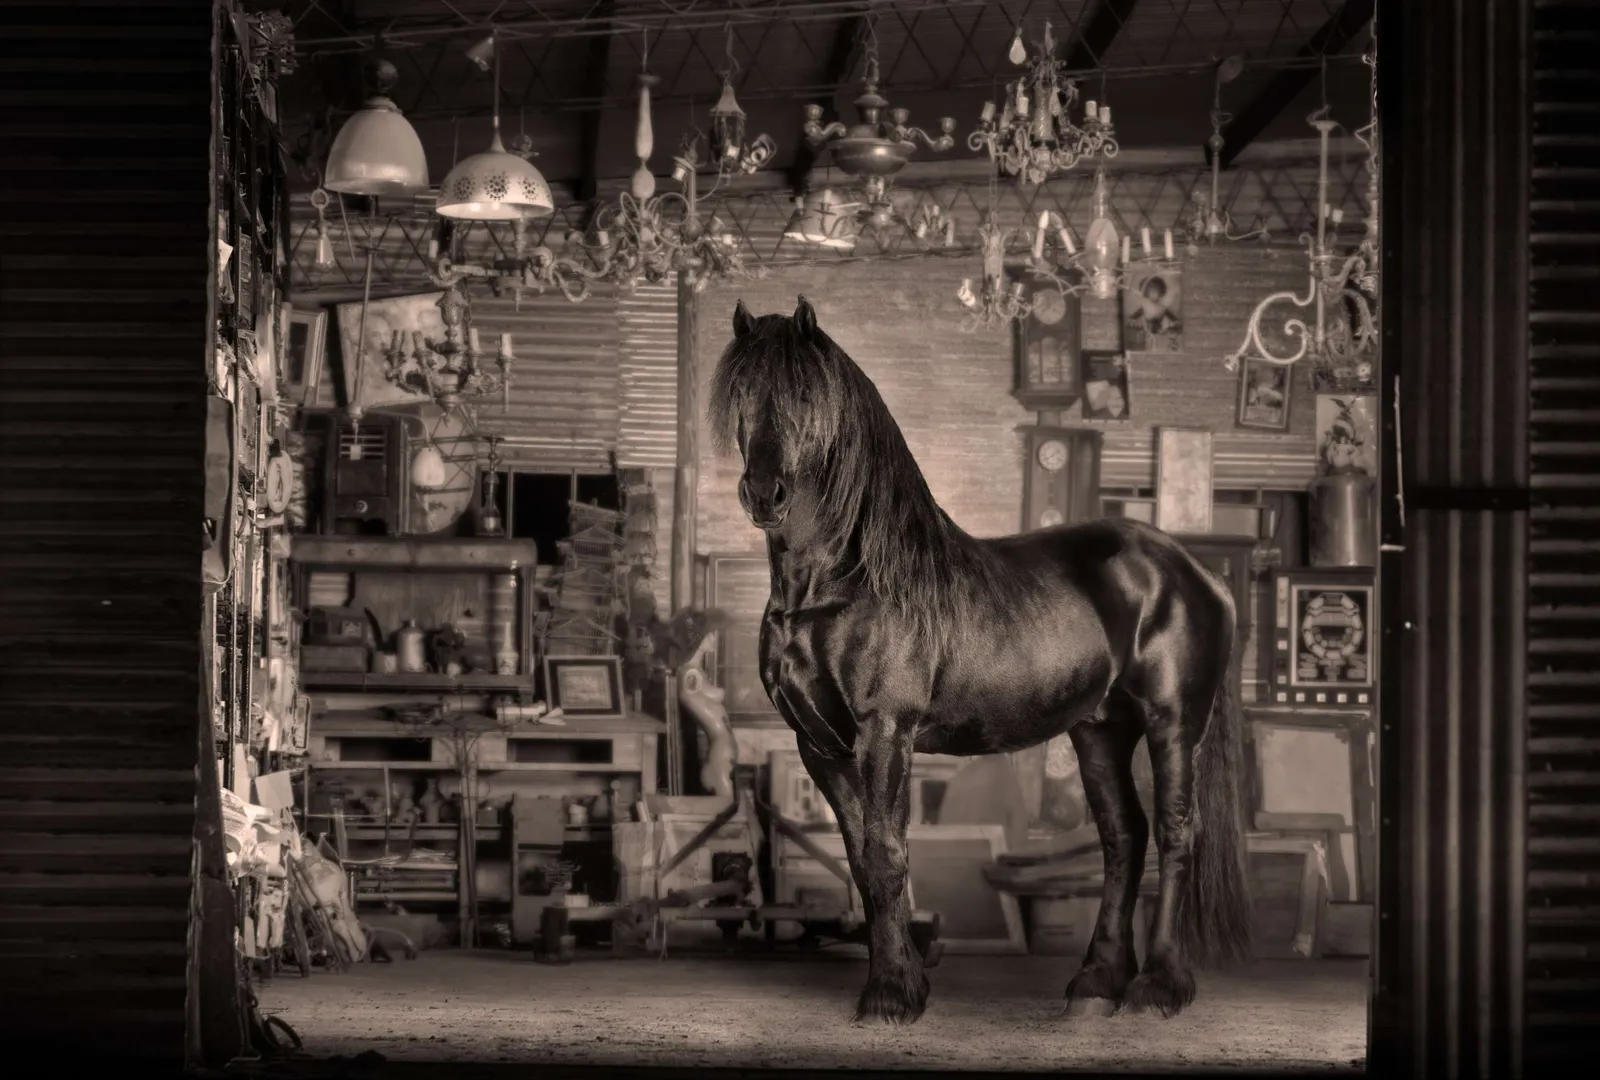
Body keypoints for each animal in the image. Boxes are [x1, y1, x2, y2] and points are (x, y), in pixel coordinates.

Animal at [708, 296, 1252, 1026]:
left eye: (804, 394)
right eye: (741, 393)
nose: (765, 493)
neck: (840, 585)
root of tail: (1194, 569)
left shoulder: (886, 732)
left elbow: (886, 855)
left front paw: (890, 996)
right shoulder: (818, 746)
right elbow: (862, 863)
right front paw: (903, 983)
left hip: (1172, 722)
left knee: (1174, 834)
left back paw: (1158, 987)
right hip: (1101, 729)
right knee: (1123, 837)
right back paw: (1097, 982)